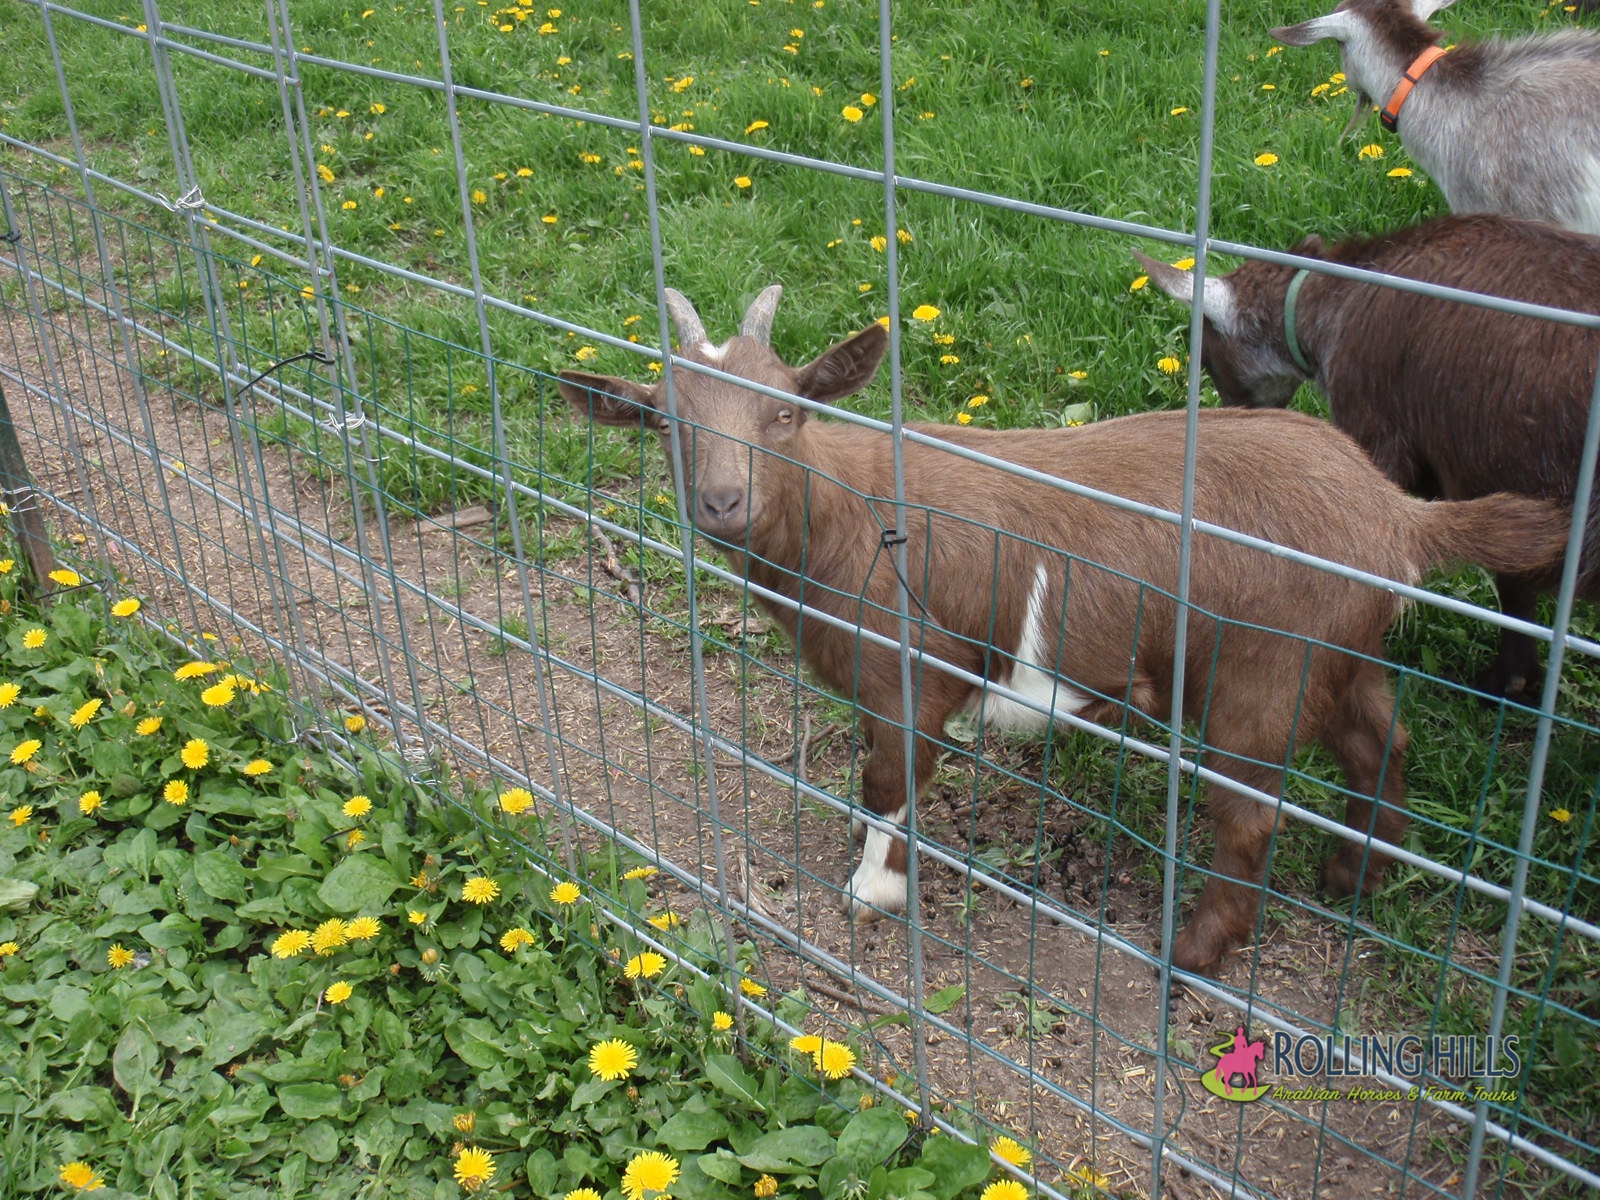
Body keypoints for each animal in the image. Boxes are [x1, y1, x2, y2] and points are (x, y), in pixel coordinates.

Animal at [558, 286, 1569, 977]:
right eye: (666, 424)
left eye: (783, 411)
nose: (723, 502)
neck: (850, 514)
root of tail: (1399, 518)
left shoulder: (917, 667)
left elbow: (891, 779)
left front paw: (874, 889)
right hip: (1343, 652)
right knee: (1379, 744)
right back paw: (1354, 876)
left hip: (1266, 664)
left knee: (1250, 807)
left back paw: (1194, 952)